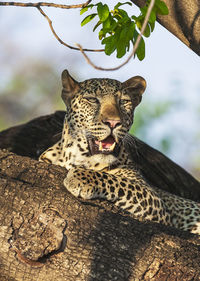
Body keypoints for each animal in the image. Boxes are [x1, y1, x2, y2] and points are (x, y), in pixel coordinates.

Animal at [39, 69, 200, 234]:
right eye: (92, 100)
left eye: (123, 101)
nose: (113, 122)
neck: (76, 157)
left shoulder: (156, 202)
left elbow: (115, 180)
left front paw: (78, 177)